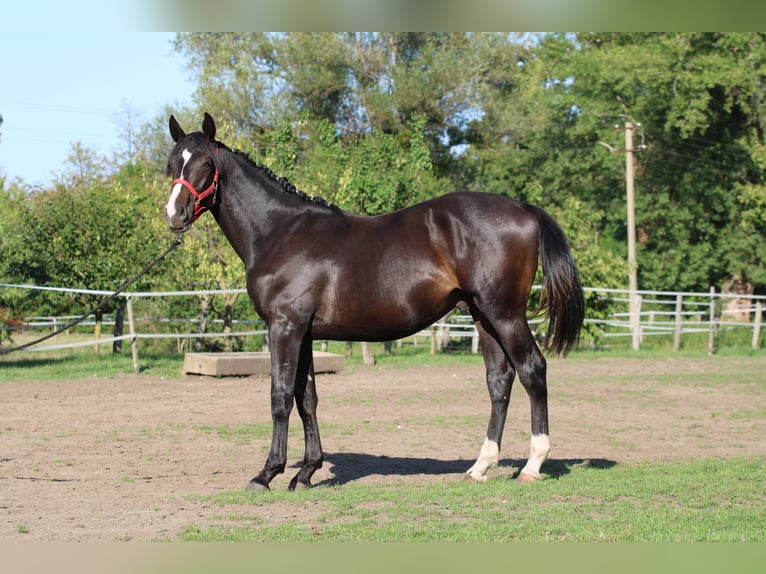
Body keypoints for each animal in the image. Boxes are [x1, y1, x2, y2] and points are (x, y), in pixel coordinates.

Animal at [164, 113, 584, 491]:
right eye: (171, 164)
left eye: (205, 164)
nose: (174, 214)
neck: (280, 232)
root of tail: (525, 209)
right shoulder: (304, 333)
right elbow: (307, 398)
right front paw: (306, 472)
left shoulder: (284, 328)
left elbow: (280, 397)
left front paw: (267, 474)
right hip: (484, 317)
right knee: (499, 380)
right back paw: (480, 466)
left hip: (506, 314)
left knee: (532, 370)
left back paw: (532, 465)